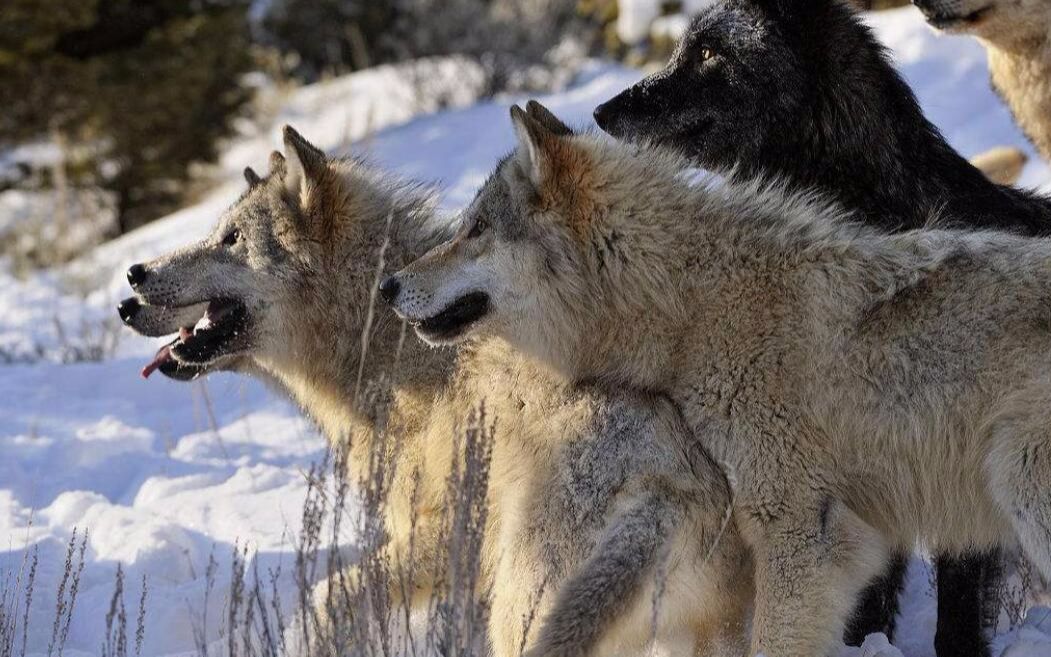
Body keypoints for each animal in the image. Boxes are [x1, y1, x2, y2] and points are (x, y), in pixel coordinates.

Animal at [119, 122, 752, 655]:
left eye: (230, 239)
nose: (130, 281)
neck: (395, 360)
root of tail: (664, 495)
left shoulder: (440, 537)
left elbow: (326, 598)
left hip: (517, 616)